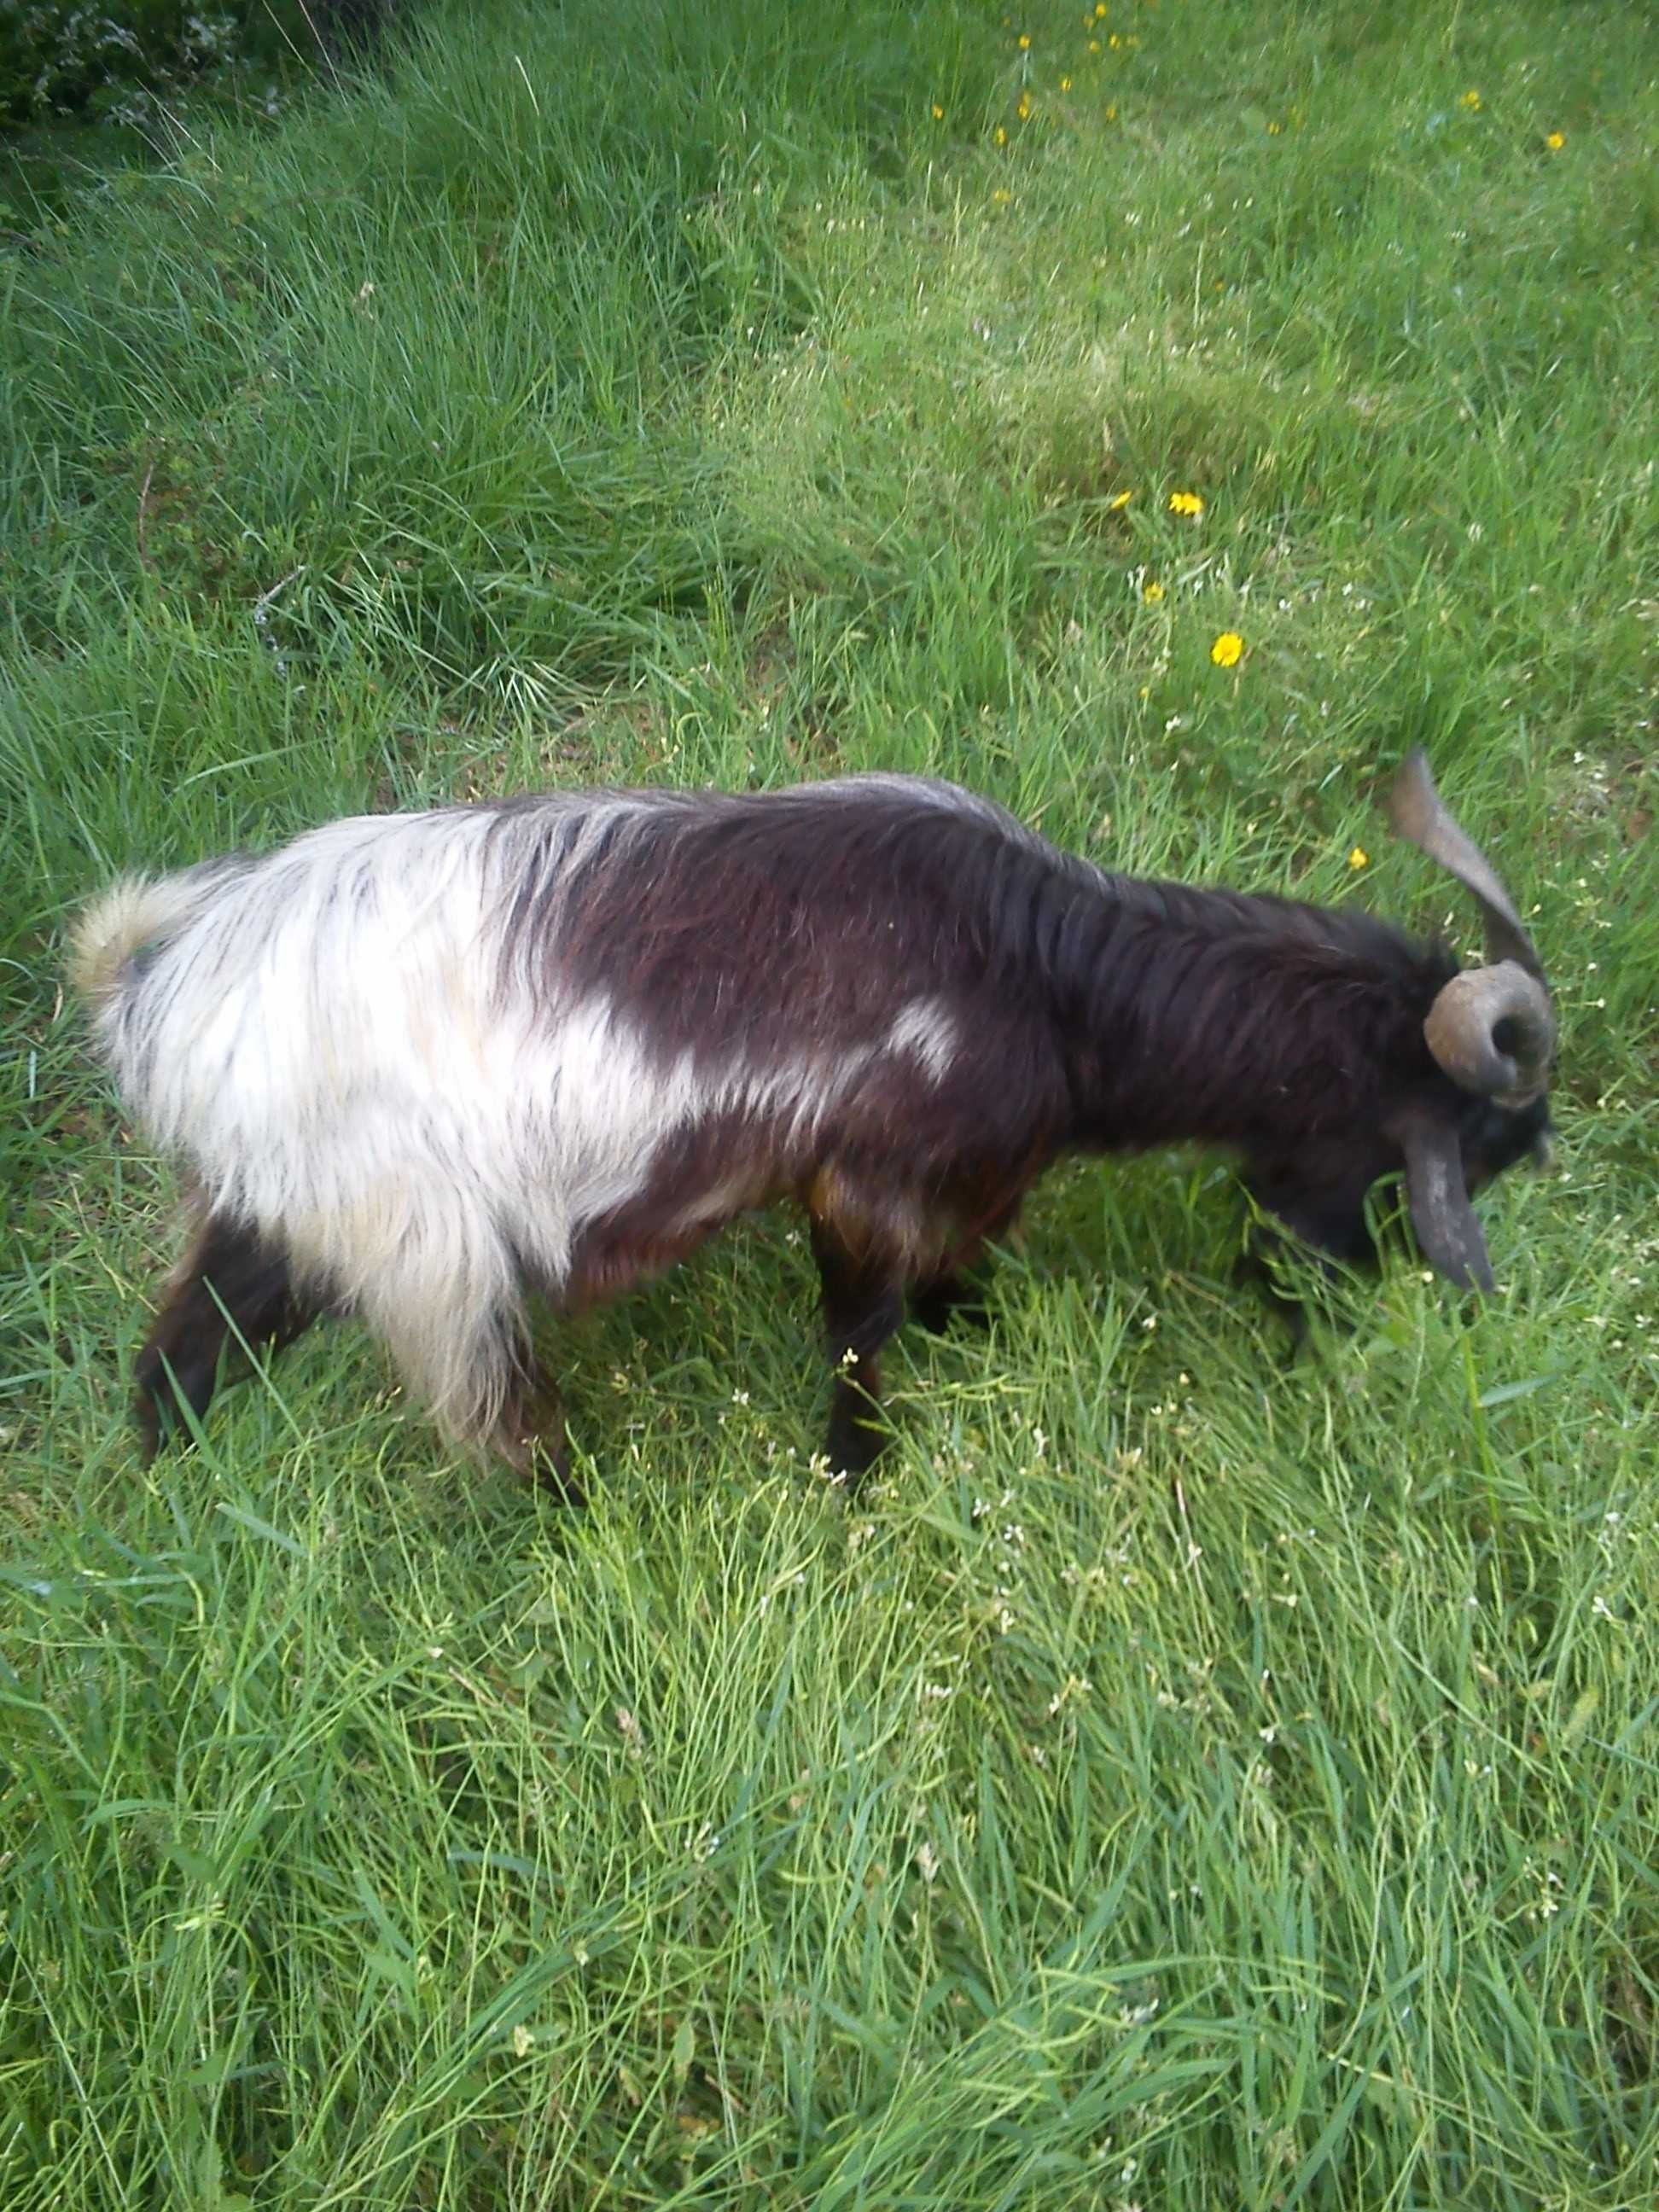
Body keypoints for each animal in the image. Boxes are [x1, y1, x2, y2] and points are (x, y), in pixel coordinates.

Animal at [74, 752, 1557, 1495]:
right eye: (1457, 1150)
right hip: (422, 1246)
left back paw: (164, 1495)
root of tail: (161, 989)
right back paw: (572, 1507)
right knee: (488, 1412)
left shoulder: (974, 1174)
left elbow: (960, 1268)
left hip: (277, 1210)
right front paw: (854, 1472)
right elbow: (859, 1331)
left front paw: (976, 1330)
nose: (1341, 1300)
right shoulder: (859, 1174)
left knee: (182, 1348)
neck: (1040, 972)